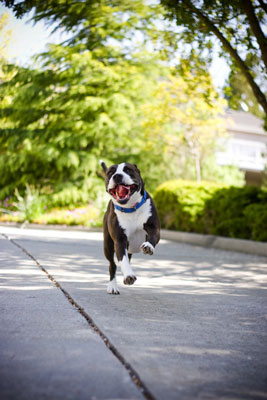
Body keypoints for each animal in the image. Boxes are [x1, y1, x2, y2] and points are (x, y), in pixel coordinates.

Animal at [100, 161, 159, 296]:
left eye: (128, 170)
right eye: (110, 172)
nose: (117, 176)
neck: (131, 208)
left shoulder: (154, 228)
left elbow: (153, 237)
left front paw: (148, 246)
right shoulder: (119, 241)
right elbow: (123, 260)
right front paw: (129, 276)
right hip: (108, 246)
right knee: (112, 265)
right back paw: (112, 286)